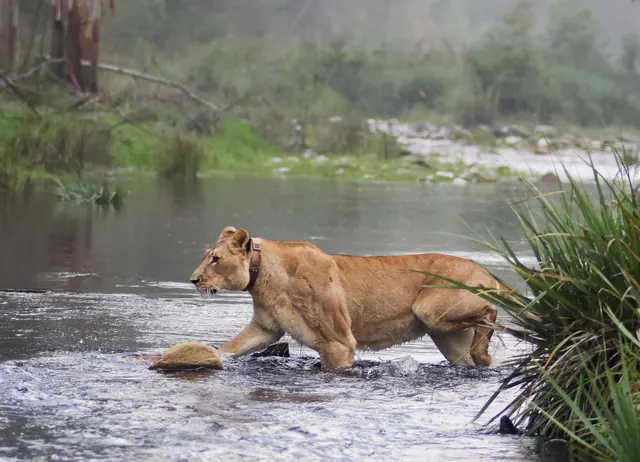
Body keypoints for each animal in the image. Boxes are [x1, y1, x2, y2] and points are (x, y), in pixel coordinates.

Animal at [189, 226, 502, 370]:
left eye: (215, 259)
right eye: (207, 256)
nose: (193, 279)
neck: (265, 277)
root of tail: (485, 271)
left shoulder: (339, 342)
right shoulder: (266, 328)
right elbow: (231, 348)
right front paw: (204, 356)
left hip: (429, 309)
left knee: (491, 311)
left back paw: (485, 347)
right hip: (447, 337)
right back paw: (481, 355)